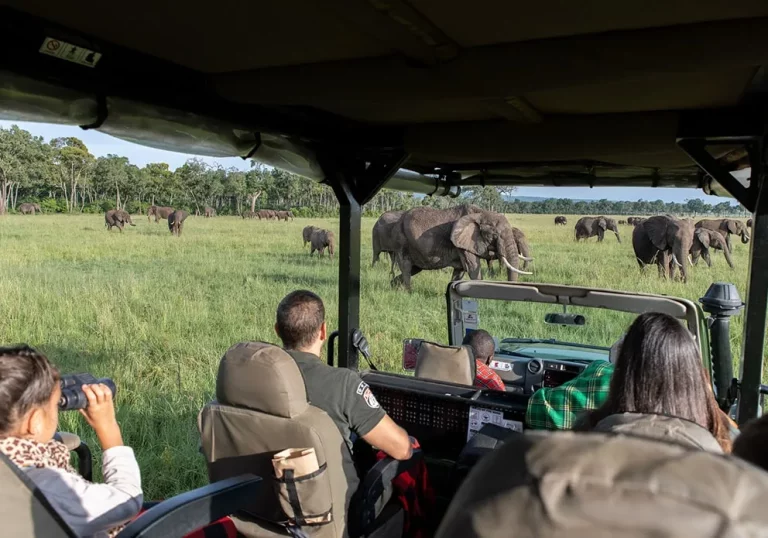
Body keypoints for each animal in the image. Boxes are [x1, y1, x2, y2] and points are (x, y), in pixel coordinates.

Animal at [395, 205, 532, 291]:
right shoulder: (463, 243)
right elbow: (472, 268)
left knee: (414, 269)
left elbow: (460, 270)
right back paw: (408, 292)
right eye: (494, 235)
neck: (481, 213)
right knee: (406, 267)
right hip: (402, 240)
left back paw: (393, 285)